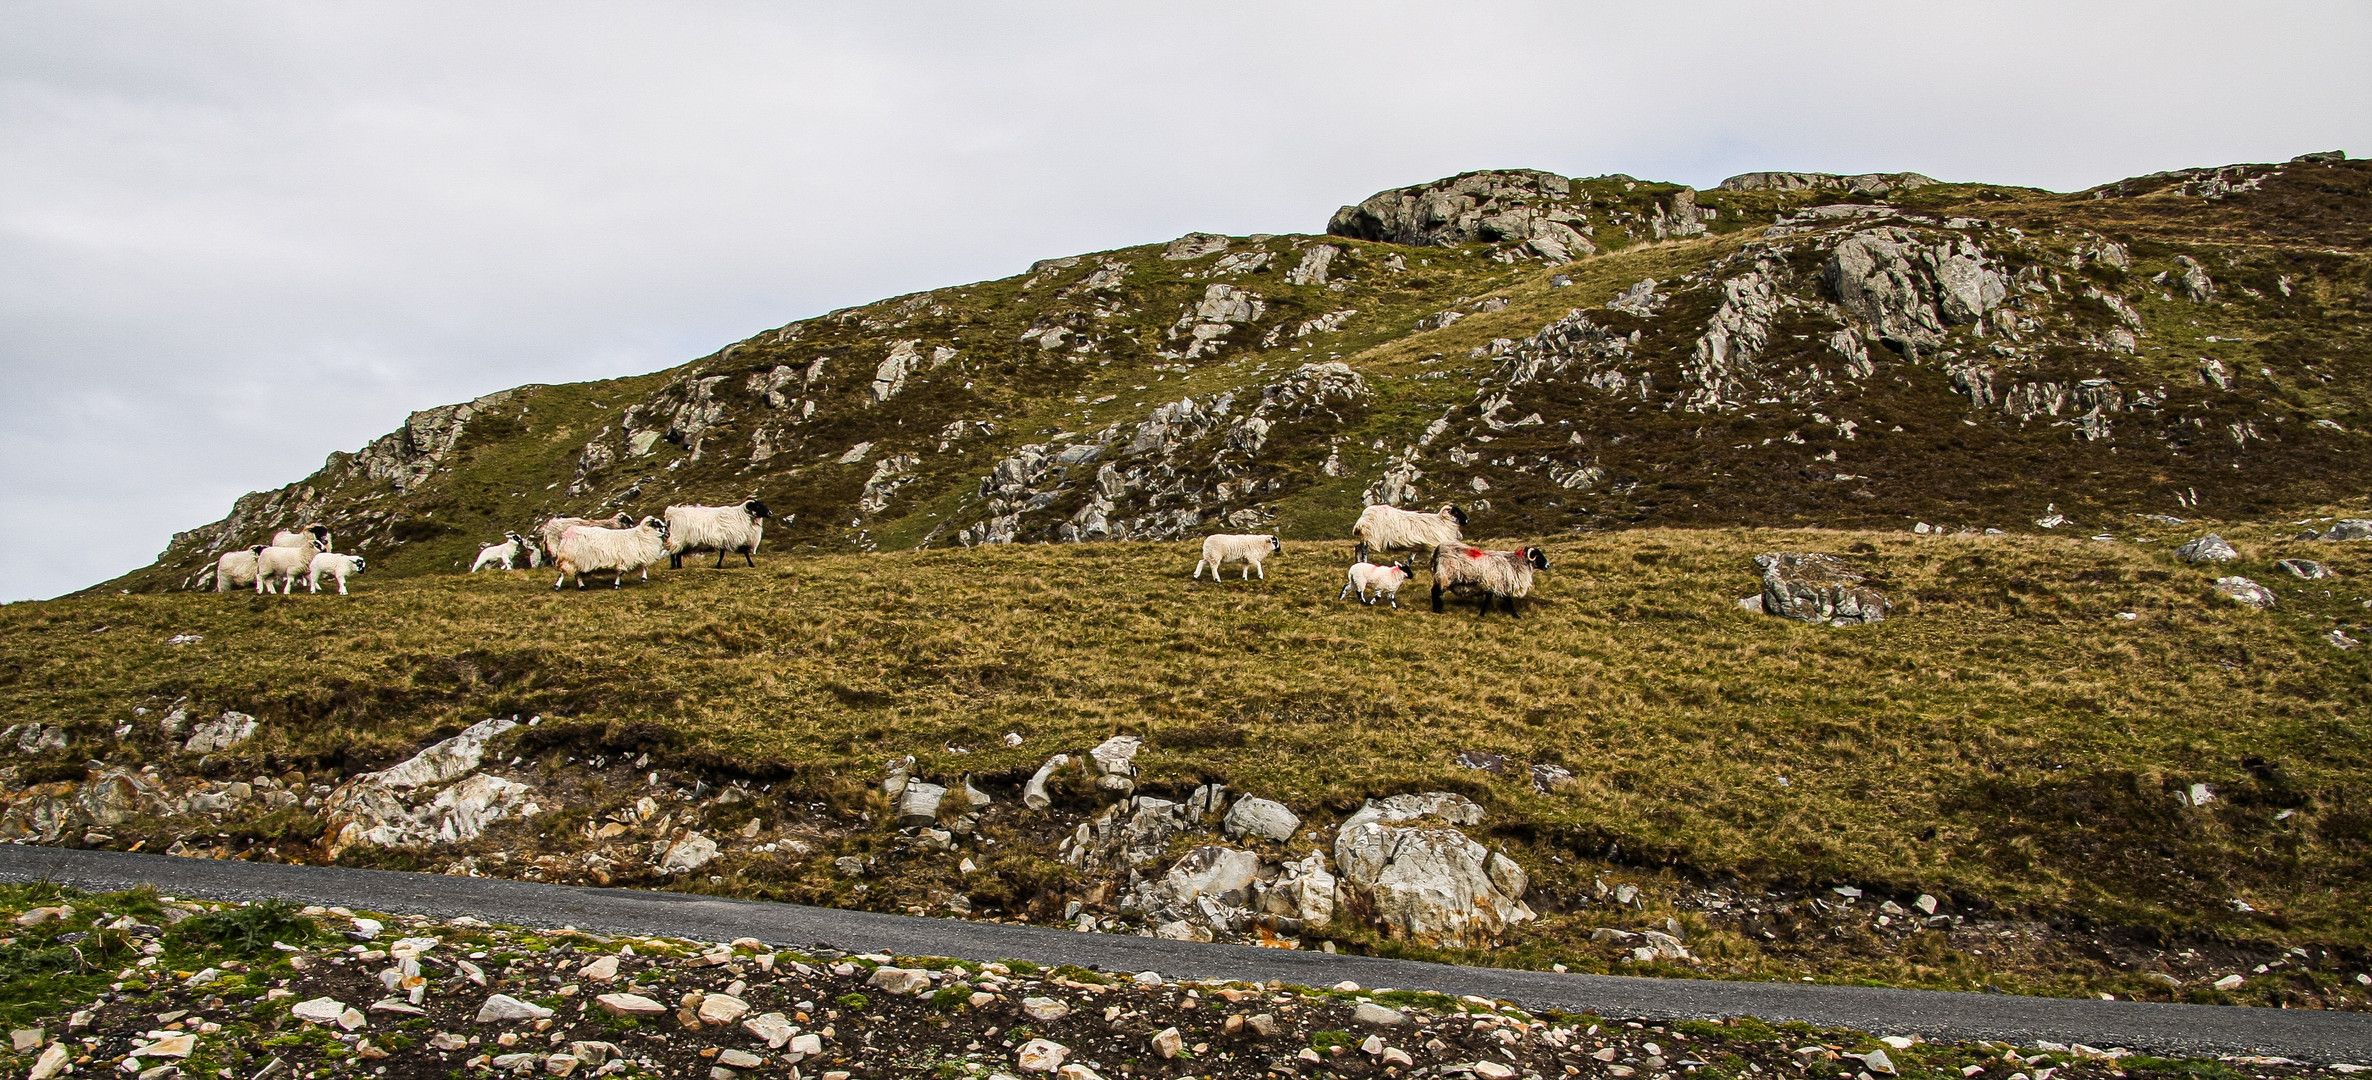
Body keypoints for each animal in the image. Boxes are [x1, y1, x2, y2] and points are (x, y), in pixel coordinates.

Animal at [1423, 550, 1556, 617]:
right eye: (1537, 555)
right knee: (1436, 592)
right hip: (1445, 577)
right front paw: (1516, 615)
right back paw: (1438, 609)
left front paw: (1482, 614)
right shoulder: (1497, 584)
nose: (1548, 565)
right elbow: (1507, 600)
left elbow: (1490, 598)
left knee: (1434, 591)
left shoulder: (1493, 585)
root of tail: (1437, 553)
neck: (1515, 563)